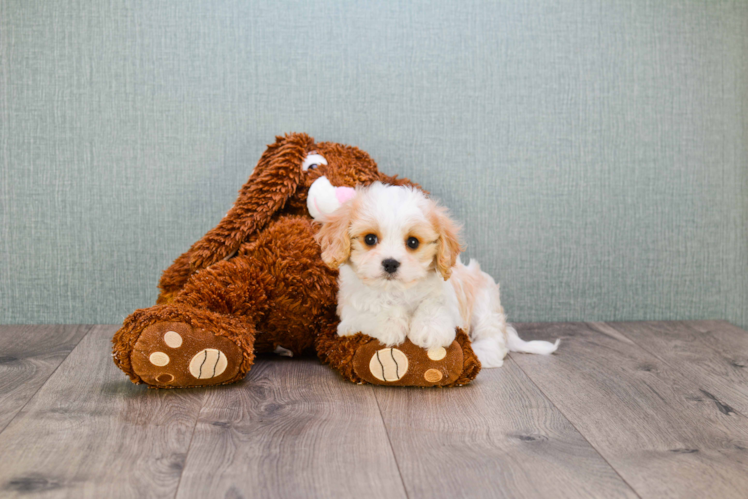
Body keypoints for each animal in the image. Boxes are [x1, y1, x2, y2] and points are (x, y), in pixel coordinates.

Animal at [312, 183, 560, 368]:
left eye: (413, 242)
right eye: (370, 239)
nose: (390, 263)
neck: (397, 291)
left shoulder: (446, 296)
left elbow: (434, 305)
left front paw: (430, 329)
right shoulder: (348, 318)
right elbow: (373, 309)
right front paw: (390, 324)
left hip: (485, 302)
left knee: (492, 335)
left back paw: (481, 353)